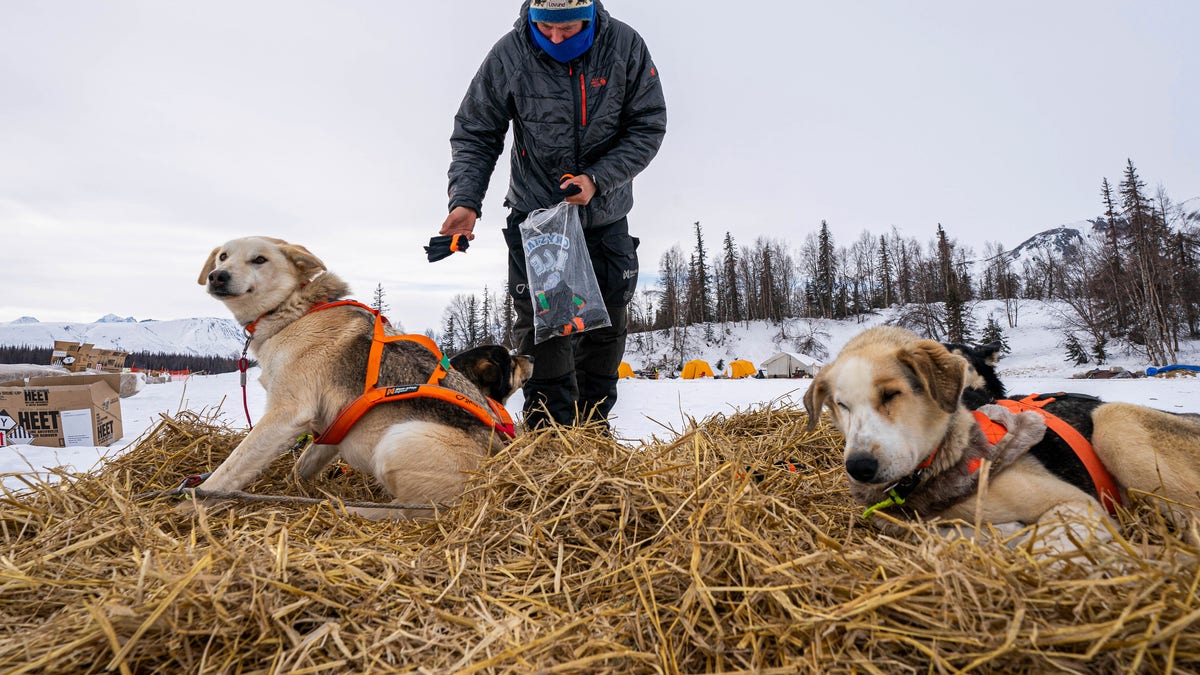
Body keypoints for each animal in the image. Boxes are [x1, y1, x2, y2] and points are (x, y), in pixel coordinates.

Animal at [194, 235, 532, 514]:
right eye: (223, 256)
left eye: (259, 259)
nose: (217, 275)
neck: (292, 311)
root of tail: (504, 470)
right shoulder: (330, 429)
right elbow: (301, 465)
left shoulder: (285, 416)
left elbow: (229, 469)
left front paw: (194, 501)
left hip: (396, 442)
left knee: (413, 510)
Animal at [806, 324, 1200, 550]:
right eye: (841, 405)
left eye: (890, 395)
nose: (860, 467)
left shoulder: (1078, 504)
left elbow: (1043, 543)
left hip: (1114, 424)